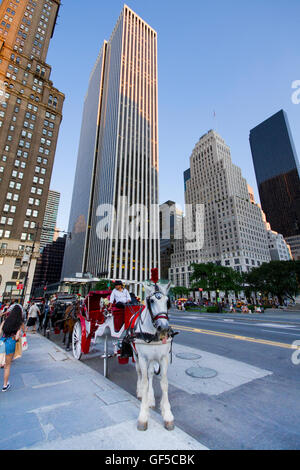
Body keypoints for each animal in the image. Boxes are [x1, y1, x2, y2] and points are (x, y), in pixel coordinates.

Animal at [129, 280, 176, 432]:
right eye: (152, 301)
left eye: (167, 301)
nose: (164, 327)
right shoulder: (143, 358)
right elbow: (144, 383)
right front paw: (143, 416)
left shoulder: (163, 358)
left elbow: (164, 383)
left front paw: (167, 414)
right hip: (136, 355)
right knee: (140, 373)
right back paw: (140, 393)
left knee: (150, 374)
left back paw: (150, 398)